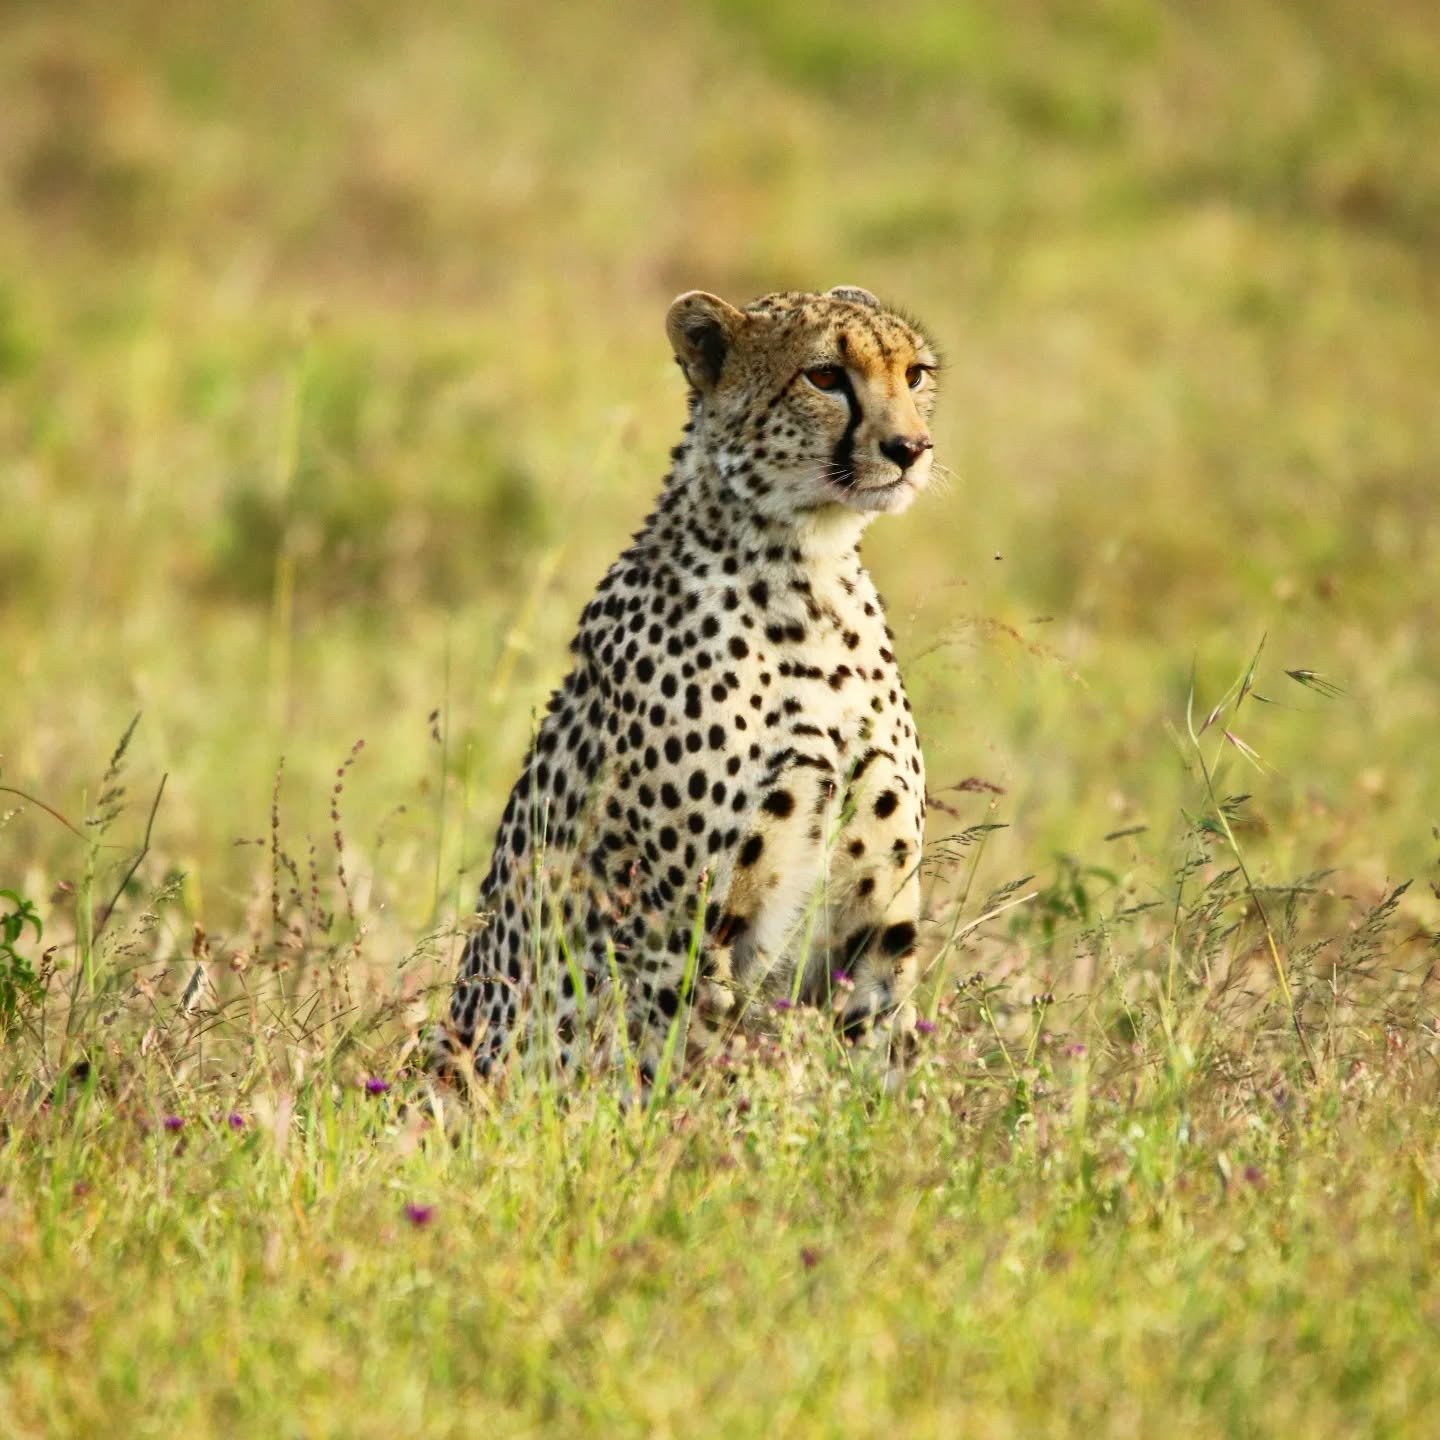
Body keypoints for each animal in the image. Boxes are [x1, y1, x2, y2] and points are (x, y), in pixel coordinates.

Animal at [429, 284, 941, 1089]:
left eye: (915, 374)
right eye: (826, 377)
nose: (910, 450)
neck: (809, 578)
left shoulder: (875, 924)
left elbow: (880, 1064)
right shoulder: (686, 924)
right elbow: (705, 1064)